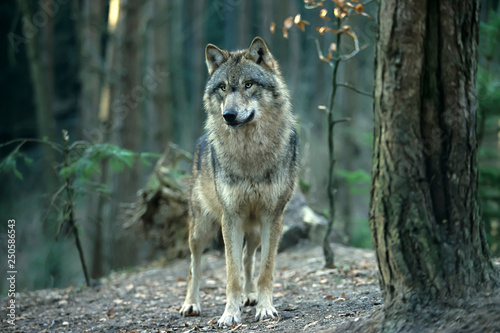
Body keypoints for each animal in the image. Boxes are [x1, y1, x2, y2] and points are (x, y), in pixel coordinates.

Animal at [179, 37, 298, 326]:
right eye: (223, 87)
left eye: (248, 85)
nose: (229, 115)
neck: (250, 153)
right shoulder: (231, 217)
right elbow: (231, 274)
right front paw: (229, 314)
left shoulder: (273, 216)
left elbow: (265, 269)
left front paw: (264, 308)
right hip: (200, 229)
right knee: (193, 265)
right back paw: (191, 304)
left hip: (253, 229)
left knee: (248, 257)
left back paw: (250, 296)